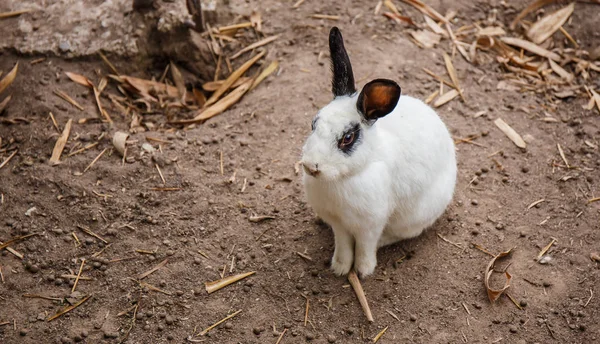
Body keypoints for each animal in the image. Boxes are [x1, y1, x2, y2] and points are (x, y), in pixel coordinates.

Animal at [302, 28, 458, 278]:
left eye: (347, 138)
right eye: (313, 124)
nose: (311, 167)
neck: (345, 178)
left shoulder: (370, 224)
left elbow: (365, 246)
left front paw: (362, 271)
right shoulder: (338, 224)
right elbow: (343, 244)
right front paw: (340, 267)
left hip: (414, 217)